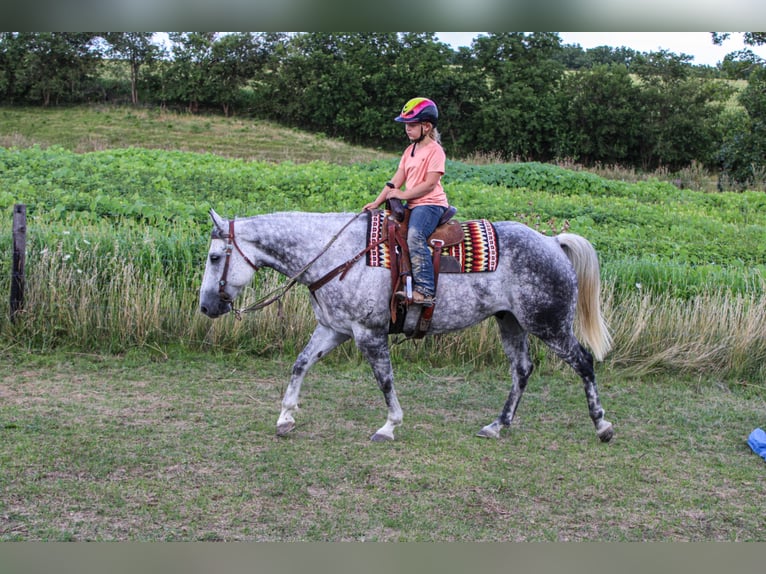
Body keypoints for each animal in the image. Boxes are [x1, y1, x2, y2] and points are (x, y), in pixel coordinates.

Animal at [200, 209, 616, 444]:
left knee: (584, 363)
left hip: (549, 325)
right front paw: (285, 418)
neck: (339, 255)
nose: (206, 306)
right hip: (511, 322)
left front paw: (389, 426)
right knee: (522, 370)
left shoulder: (368, 333)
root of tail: (552, 242)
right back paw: (497, 426)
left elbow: (385, 380)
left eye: (215, 257)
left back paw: (602, 426)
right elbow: (300, 364)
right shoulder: (334, 329)